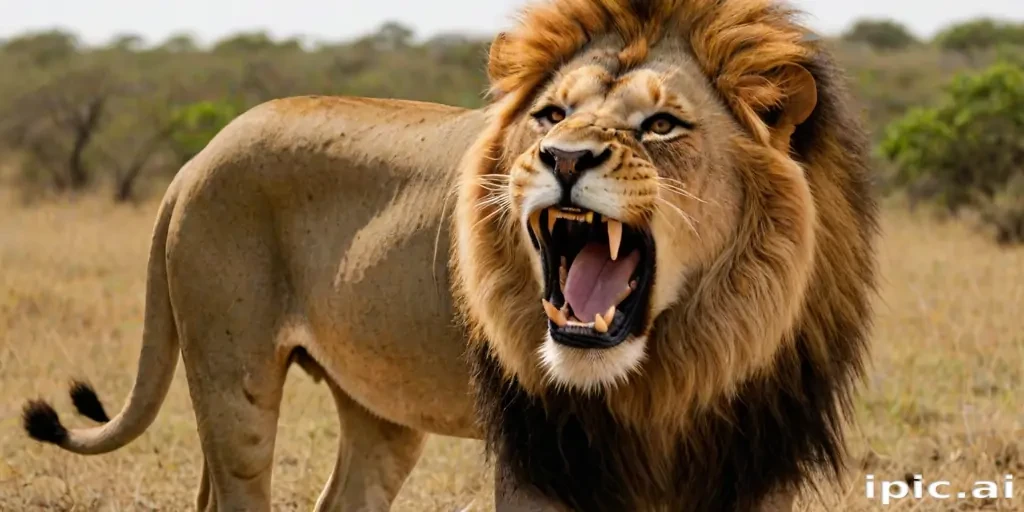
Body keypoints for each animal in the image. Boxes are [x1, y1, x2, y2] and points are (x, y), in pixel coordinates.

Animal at [22, 0, 877, 511]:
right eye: (551, 114)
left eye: (662, 124)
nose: (564, 158)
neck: (678, 358)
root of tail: (196, 158)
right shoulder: (542, 459)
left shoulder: (754, 457)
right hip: (234, 380)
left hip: (377, 409)